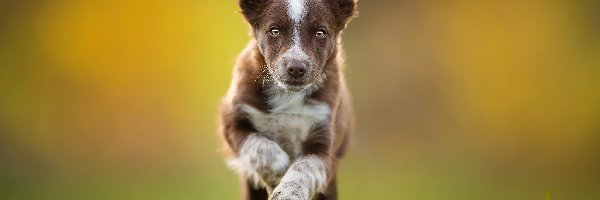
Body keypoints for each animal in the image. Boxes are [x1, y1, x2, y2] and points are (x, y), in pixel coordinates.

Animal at [223, 0, 358, 200]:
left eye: (320, 32)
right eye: (274, 30)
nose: (296, 68)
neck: (287, 94)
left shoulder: (324, 144)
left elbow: (303, 170)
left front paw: (286, 193)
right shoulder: (232, 120)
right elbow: (260, 147)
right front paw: (279, 171)